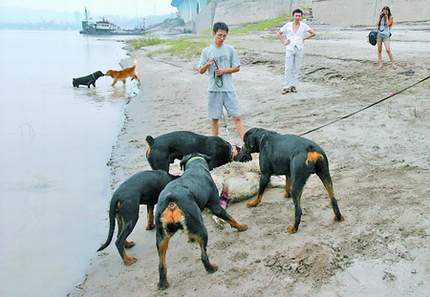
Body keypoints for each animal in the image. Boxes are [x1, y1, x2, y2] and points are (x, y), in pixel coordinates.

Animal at [156, 153, 247, 290]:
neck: (195, 166)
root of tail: (171, 200)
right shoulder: (216, 206)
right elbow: (230, 218)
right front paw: (241, 226)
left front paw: (191, 238)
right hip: (201, 229)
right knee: (203, 256)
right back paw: (211, 269)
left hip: (161, 239)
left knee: (161, 264)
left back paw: (162, 284)